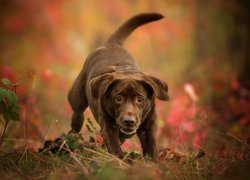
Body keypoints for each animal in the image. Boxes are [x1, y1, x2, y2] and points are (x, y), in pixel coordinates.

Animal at [68, 12, 170, 160]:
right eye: (118, 98)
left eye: (140, 99)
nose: (129, 121)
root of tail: (111, 43)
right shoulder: (108, 126)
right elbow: (115, 147)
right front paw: (122, 161)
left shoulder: (149, 126)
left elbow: (151, 147)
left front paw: (153, 162)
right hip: (77, 98)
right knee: (77, 115)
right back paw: (71, 138)